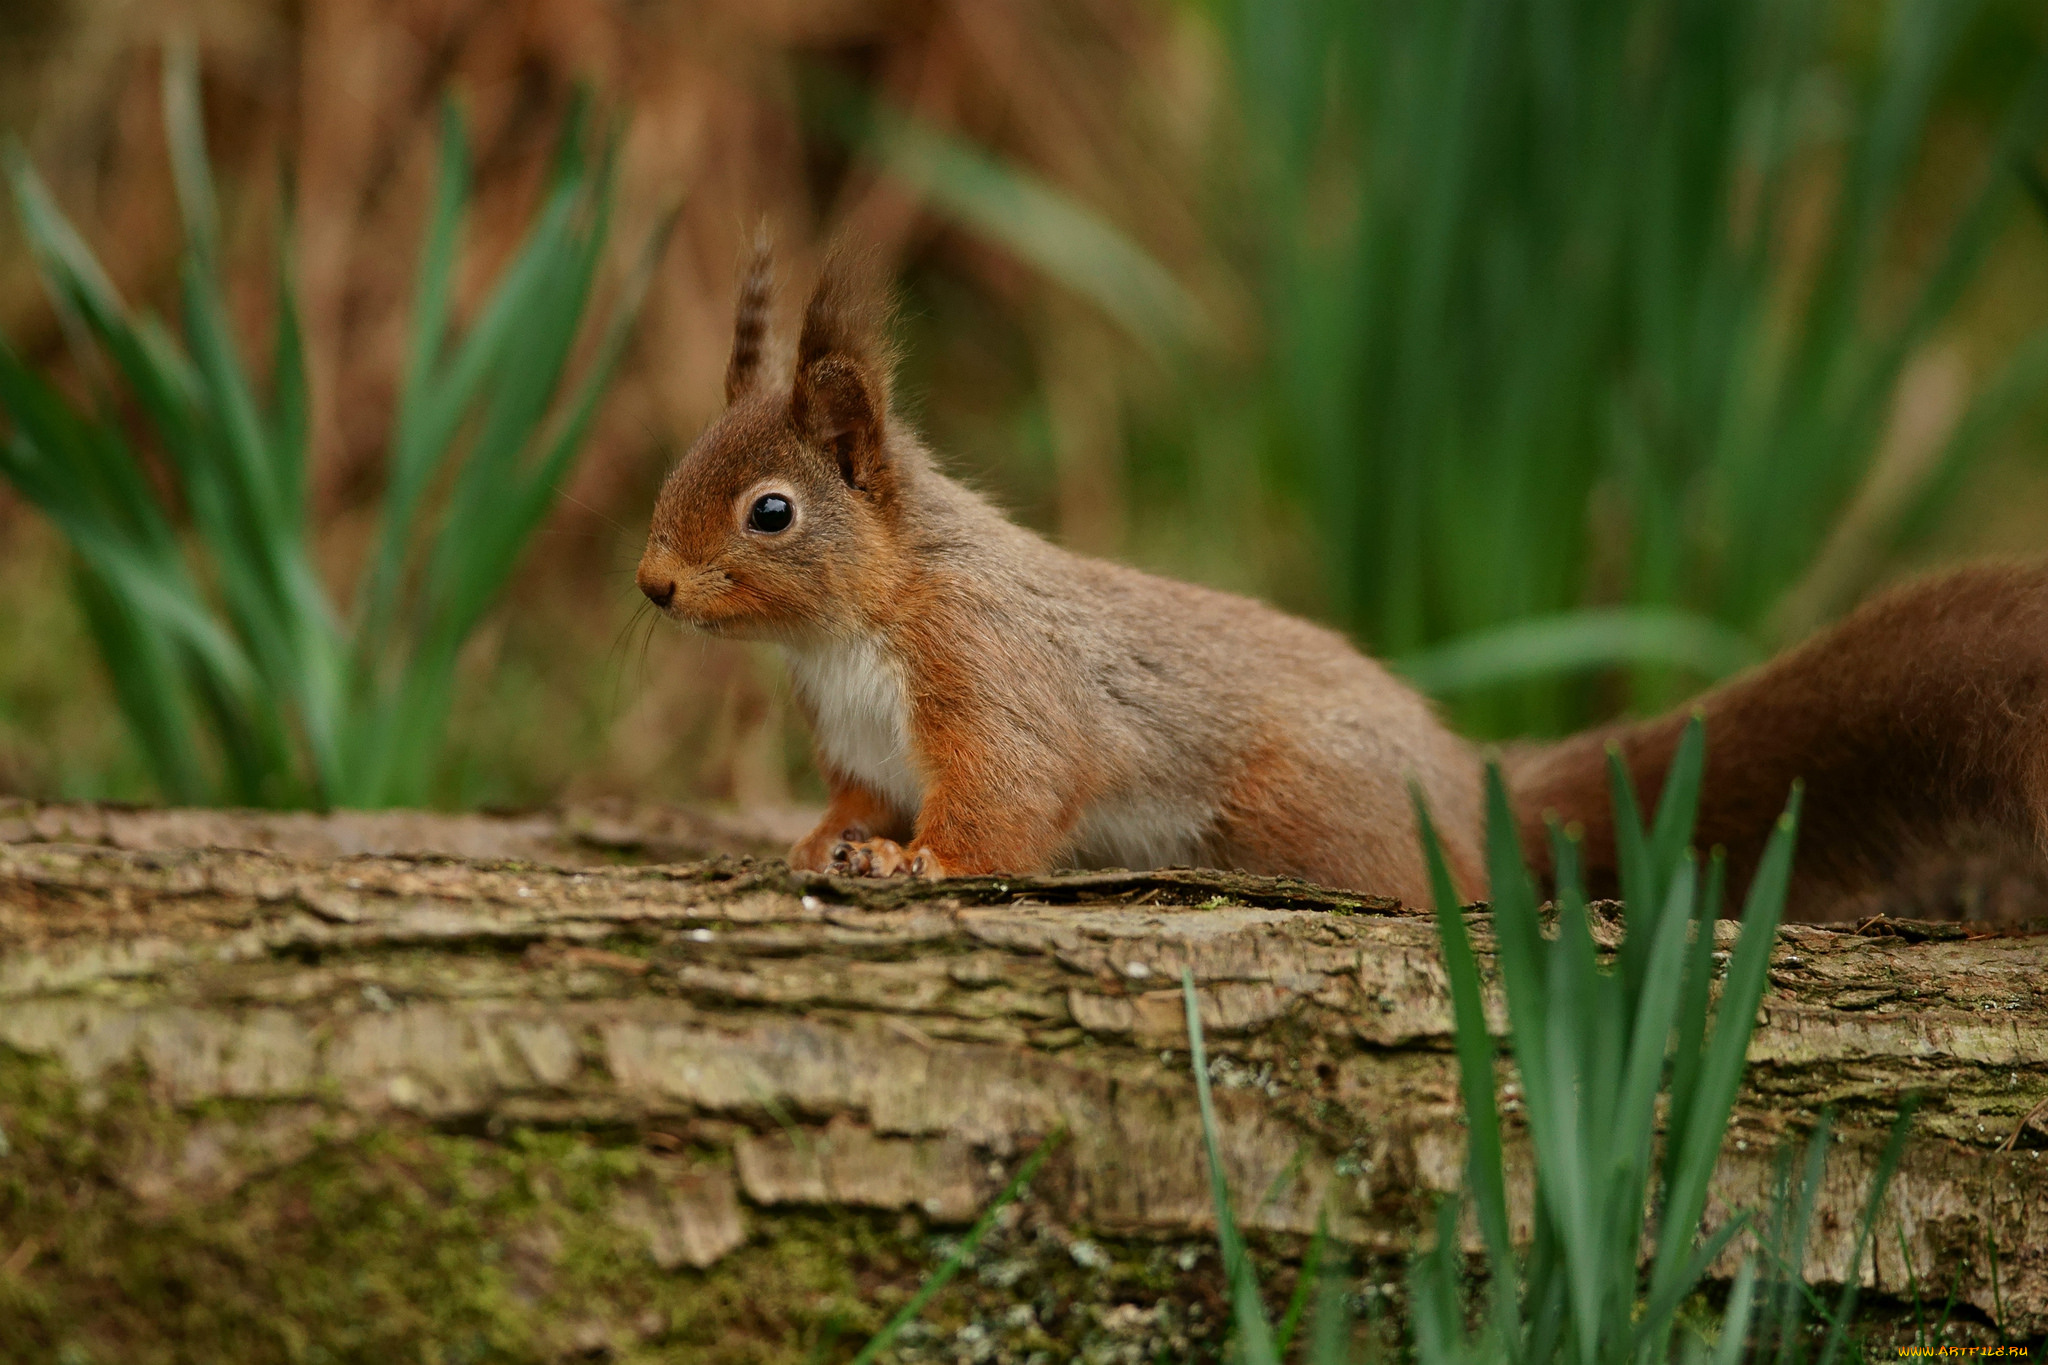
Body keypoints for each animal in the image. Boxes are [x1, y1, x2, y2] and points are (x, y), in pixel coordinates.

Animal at [638, 250, 2048, 925]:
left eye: (771, 511)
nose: (651, 586)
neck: (845, 635)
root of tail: (1465, 787)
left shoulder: (988, 677)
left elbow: (1009, 799)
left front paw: (916, 863)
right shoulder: (865, 742)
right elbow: (853, 797)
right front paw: (818, 843)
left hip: (1300, 804)